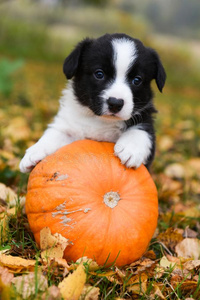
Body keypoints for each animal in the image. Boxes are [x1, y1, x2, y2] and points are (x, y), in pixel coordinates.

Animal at [19, 32, 166, 173]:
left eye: (137, 80)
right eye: (99, 74)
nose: (115, 103)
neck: (100, 120)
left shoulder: (145, 118)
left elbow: (142, 130)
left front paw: (130, 148)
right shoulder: (69, 126)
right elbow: (53, 134)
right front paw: (34, 152)